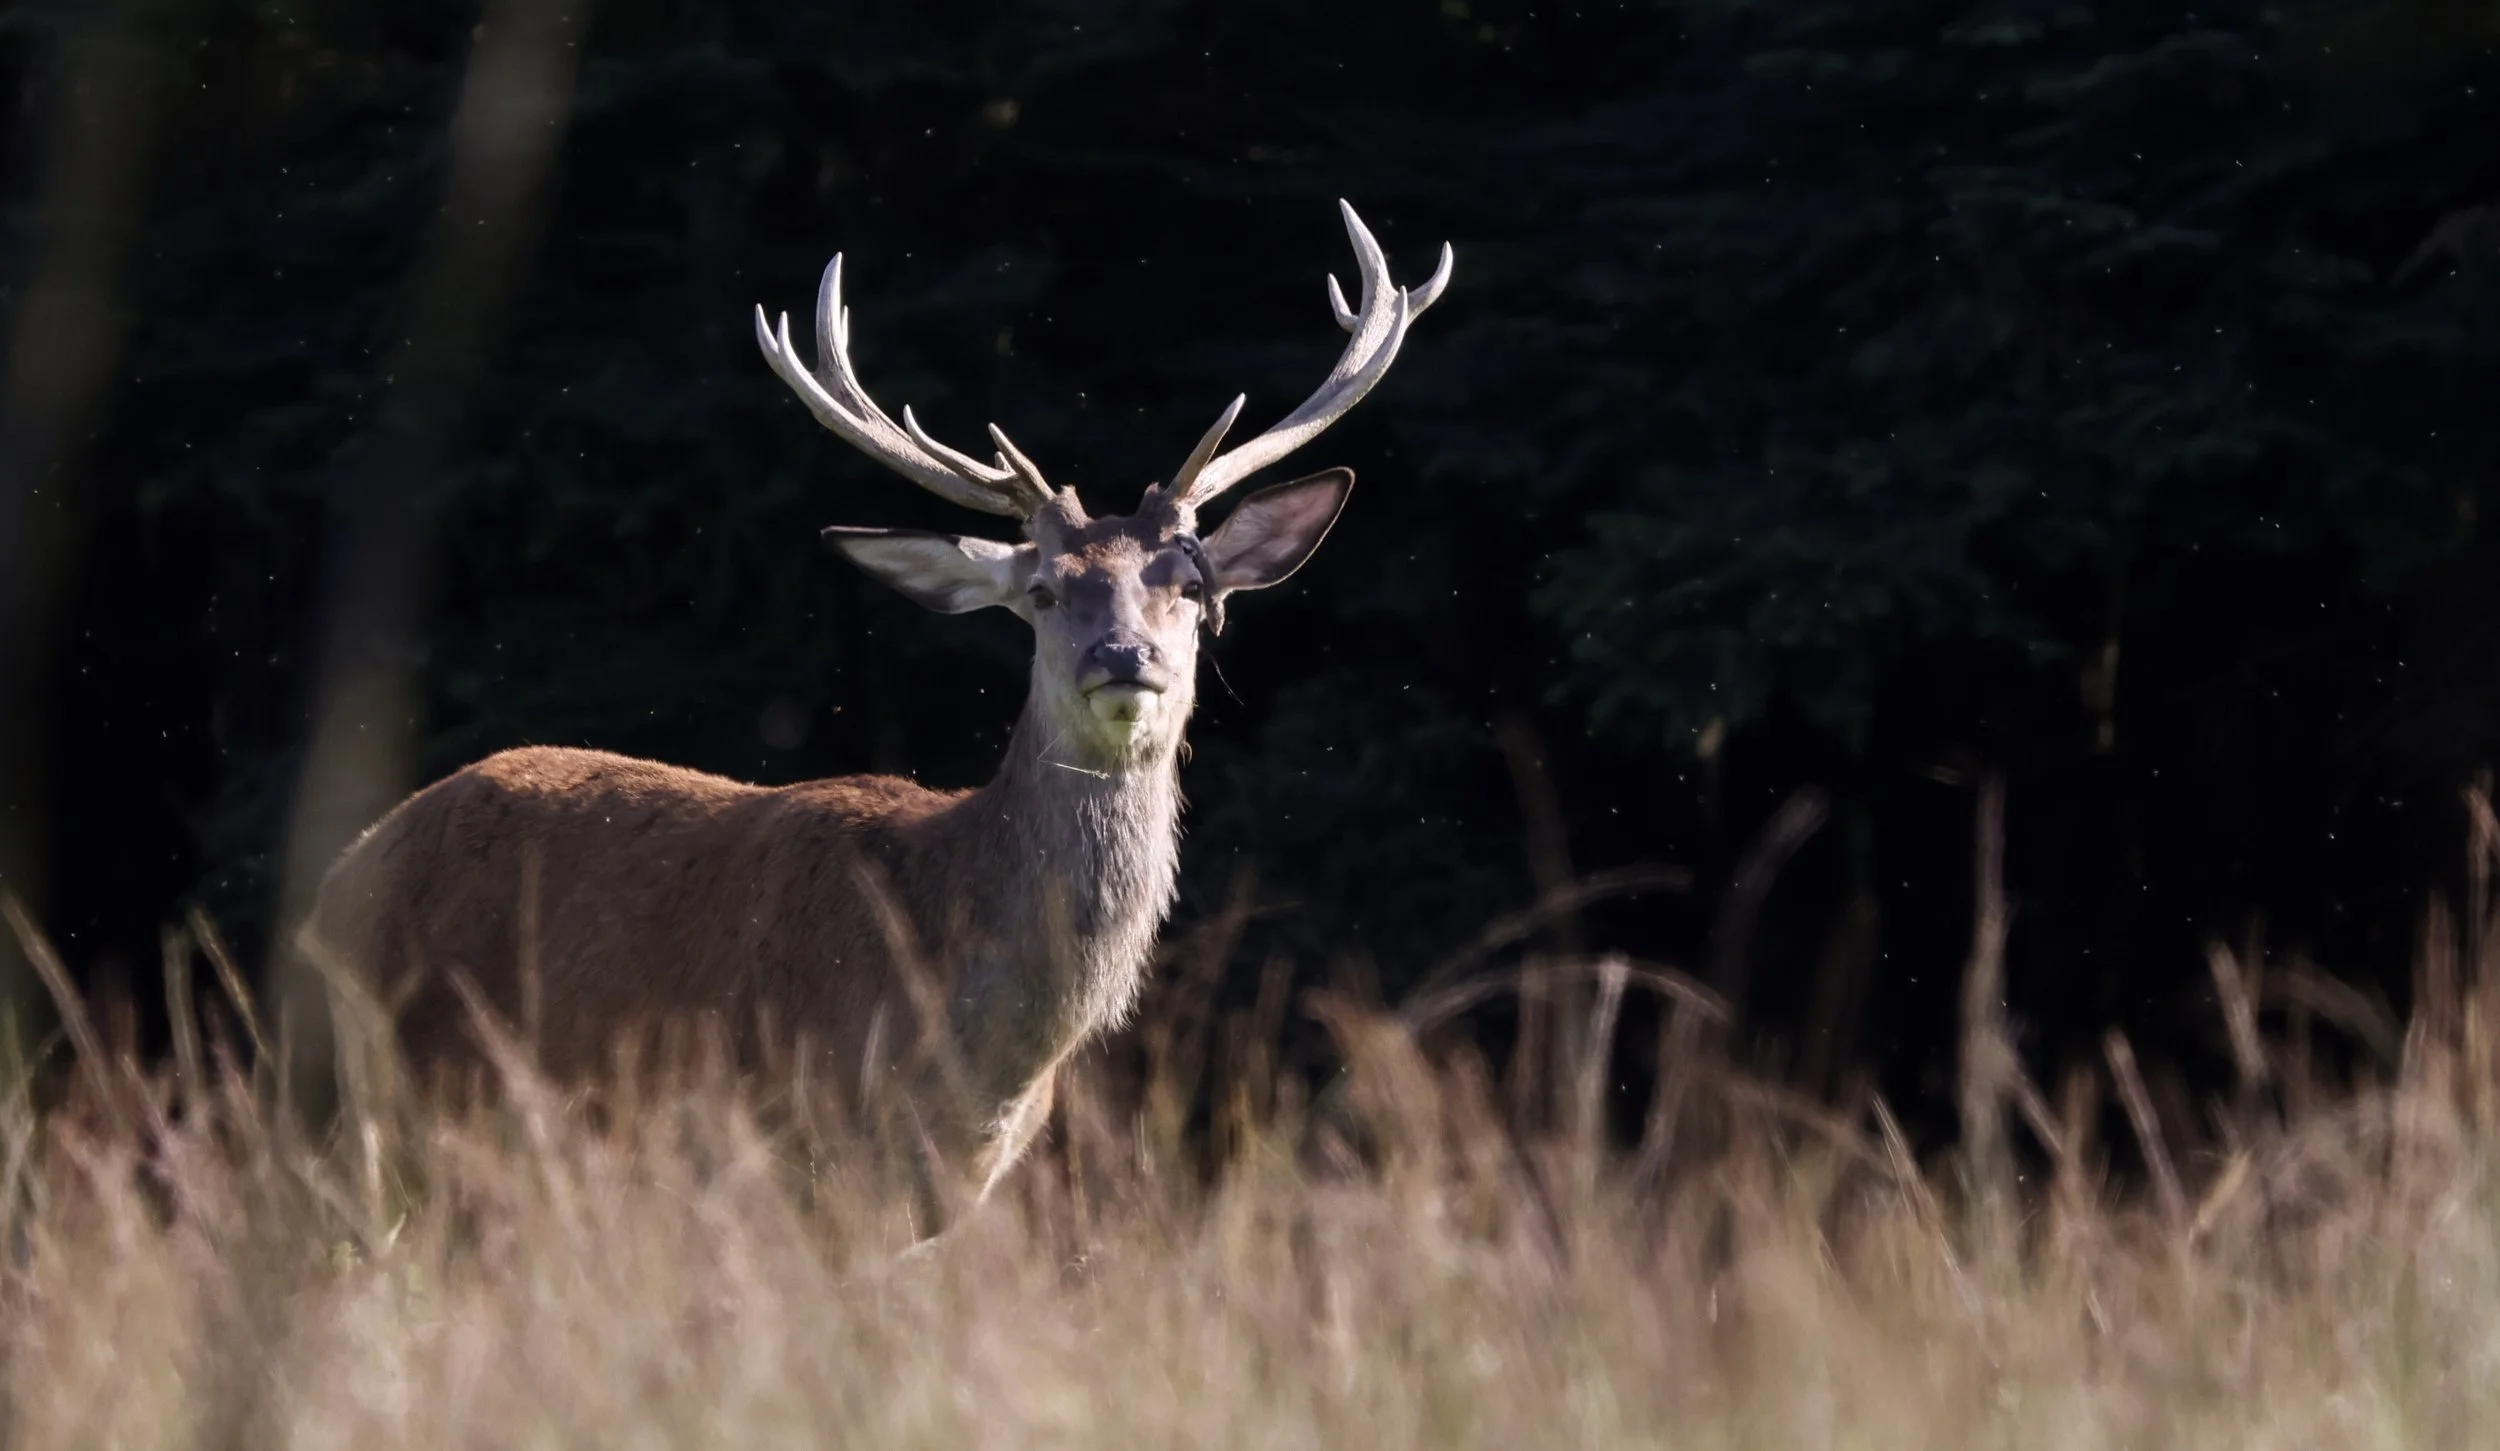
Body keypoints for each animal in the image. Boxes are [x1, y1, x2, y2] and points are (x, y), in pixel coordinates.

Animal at [299, 201, 1451, 1222]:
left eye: (1194, 584)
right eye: (1043, 591)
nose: (1126, 657)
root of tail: (345, 869)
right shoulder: (785, 1132)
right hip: (405, 1092)